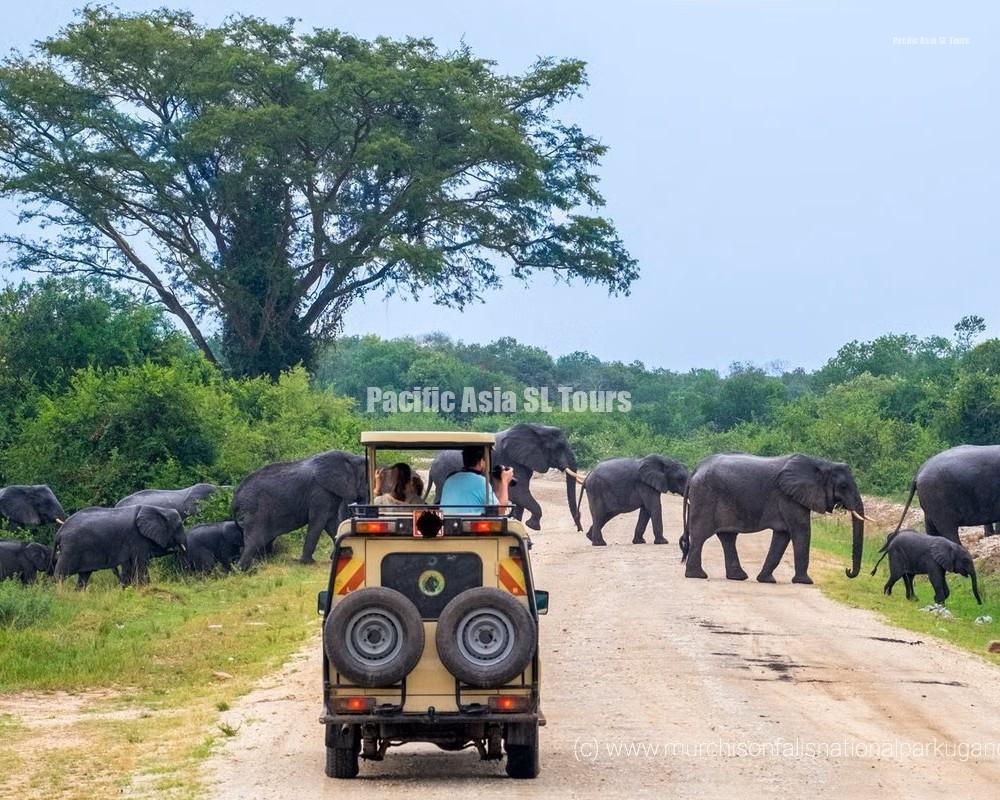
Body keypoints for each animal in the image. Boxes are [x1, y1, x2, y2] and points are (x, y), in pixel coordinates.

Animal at [53, 505, 186, 589]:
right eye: (179, 526)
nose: (177, 549)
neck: (158, 509)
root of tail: (59, 533)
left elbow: (131, 564)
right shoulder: (136, 537)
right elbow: (140, 563)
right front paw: (146, 587)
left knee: (84, 575)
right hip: (70, 550)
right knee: (61, 575)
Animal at [232, 449, 367, 568]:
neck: (351, 459)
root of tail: (236, 496)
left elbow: (332, 522)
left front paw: (344, 554)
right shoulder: (319, 492)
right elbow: (318, 522)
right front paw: (308, 563)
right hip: (255, 509)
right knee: (255, 539)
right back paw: (243, 570)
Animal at [426, 423, 582, 531]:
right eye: (559, 447)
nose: (579, 528)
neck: (537, 428)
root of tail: (432, 465)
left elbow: (520, 497)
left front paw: (519, 523)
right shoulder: (510, 460)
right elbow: (518, 493)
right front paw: (532, 526)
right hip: (443, 475)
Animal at [680, 453, 866, 583]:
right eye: (843, 486)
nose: (848, 570)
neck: (822, 463)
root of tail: (696, 469)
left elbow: (782, 536)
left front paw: (766, 580)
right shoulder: (789, 497)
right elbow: (801, 531)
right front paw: (806, 582)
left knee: (727, 537)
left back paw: (738, 577)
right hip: (705, 497)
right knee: (701, 535)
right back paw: (697, 576)